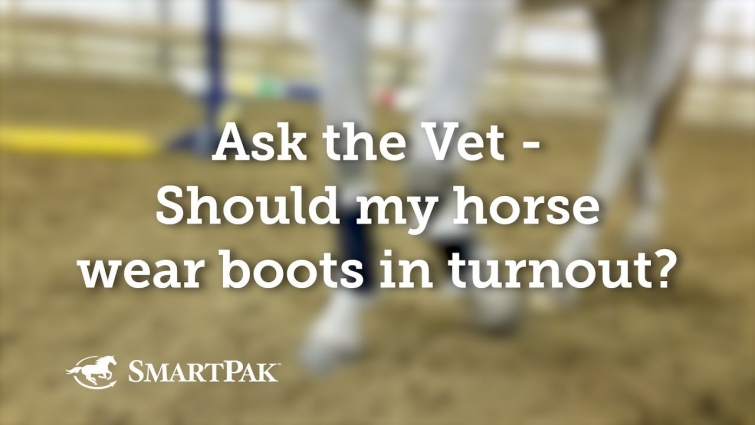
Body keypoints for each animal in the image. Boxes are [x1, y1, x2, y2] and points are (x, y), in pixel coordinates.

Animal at [299, 0, 704, 373]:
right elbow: (348, 153)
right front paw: (340, 324)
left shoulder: (475, 8)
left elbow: (428, 170)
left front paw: (493, 303)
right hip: (616, 15)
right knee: (632, 112)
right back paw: (642, 222)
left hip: (671, 14)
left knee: (630, 123)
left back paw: (565, 275)